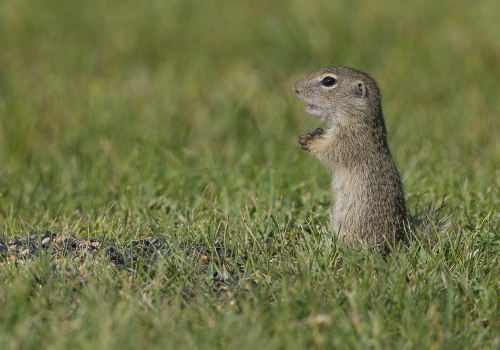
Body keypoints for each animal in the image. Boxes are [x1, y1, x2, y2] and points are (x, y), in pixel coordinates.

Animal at [292, 66, 406, 252]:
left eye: (328, 81)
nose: (295, 88)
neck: (355, 117)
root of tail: (393, 247)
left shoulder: (349, 141)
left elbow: (329, 151)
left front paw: (309, 141)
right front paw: (316, 133)